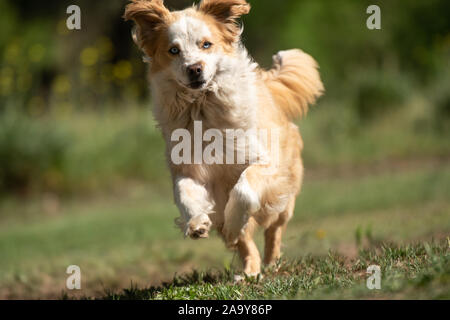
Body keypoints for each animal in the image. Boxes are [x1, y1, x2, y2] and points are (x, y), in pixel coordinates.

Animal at [125, 0, 326, 276]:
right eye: (173, 50)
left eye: (206, 44)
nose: (194, 69)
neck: (202, 106)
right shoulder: (187, 168)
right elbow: (185, 193)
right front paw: (197, 223)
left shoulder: (265, 162)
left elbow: (244, 189)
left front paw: (233, 224)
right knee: (246, 244)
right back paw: (249, 271)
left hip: (285, 193)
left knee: (274, 227)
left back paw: (271, 261)